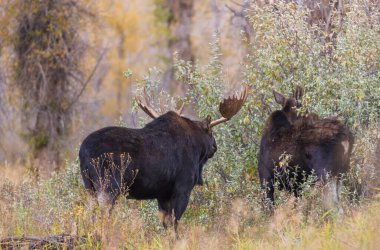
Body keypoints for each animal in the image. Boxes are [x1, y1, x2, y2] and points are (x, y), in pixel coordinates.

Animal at [78, 87, 248, 231]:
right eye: (211, 133)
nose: (214, 146)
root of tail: (82, 151)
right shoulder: (182, 188)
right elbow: (174, 222)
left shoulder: (162, 193)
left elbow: (166, 223)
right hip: (108, 185)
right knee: (103, 214)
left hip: (89, 187)